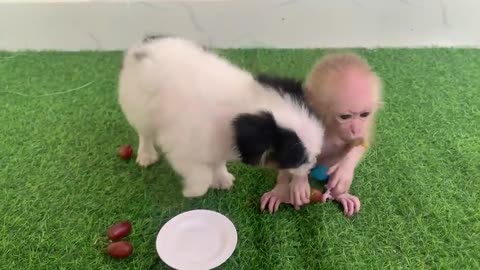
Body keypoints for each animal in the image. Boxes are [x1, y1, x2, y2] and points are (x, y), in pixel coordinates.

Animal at [117, 36, 324, 196]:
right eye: (298, 159)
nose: (313, 165)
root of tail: (144, 45)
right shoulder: (181, 151)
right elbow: (202, 176)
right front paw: (191, 191)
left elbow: (217, 163)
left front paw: (222, 178)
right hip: (140, 109)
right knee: (145, 134)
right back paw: (146, 155)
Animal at [260, 52, 384, 216]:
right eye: (345, 117)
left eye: (364, 114)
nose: (355, 129)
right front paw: (299, 182)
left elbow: (360, 143)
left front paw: (345, 171)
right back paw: (281, 191)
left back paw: (341, 194)